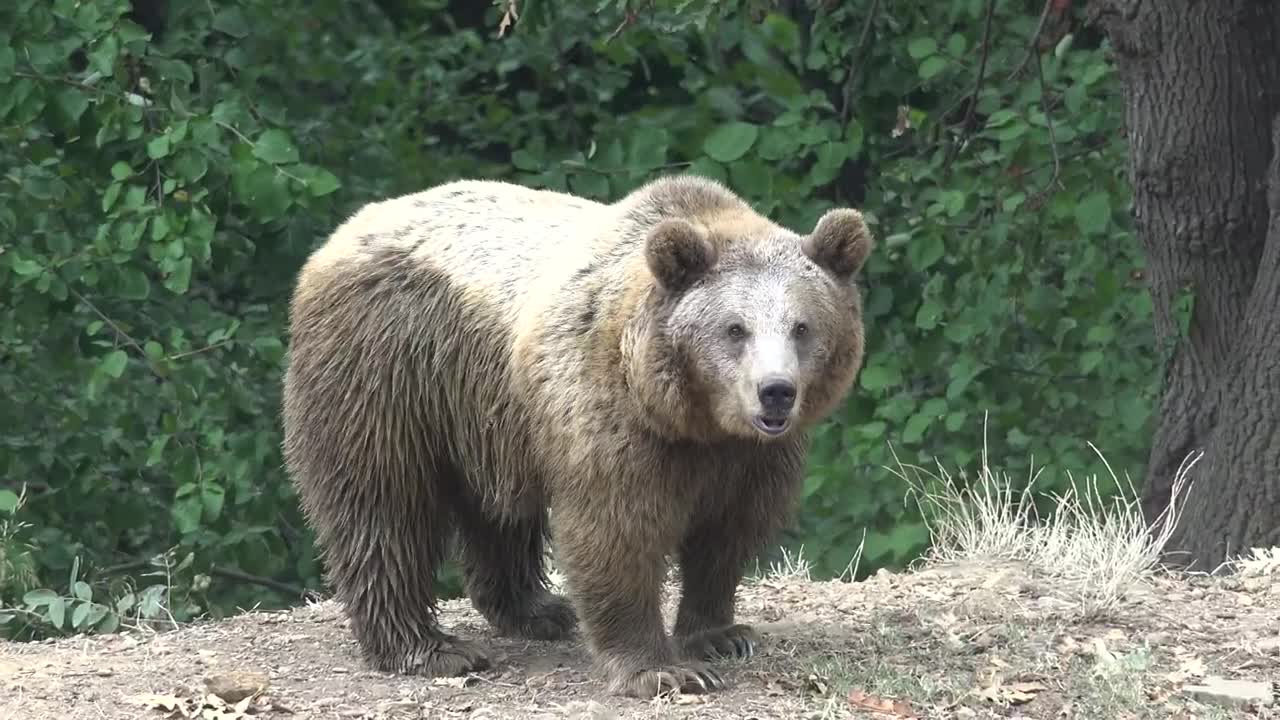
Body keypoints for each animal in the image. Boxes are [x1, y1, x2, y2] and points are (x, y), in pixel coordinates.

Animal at [282, 174, 870, 696]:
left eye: (801, 326)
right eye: (735, 328)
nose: (776, 392)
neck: (692, 417)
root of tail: (345, 231)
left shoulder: (749, 457)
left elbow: (729, 532)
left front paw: (721, 634)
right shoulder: (610, 411)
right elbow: (615, 531)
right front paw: (662, 670)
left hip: (489, 416)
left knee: (498, 513)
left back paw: (538, 610)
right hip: (388, 368)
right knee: (382, 502)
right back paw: (429, 647)